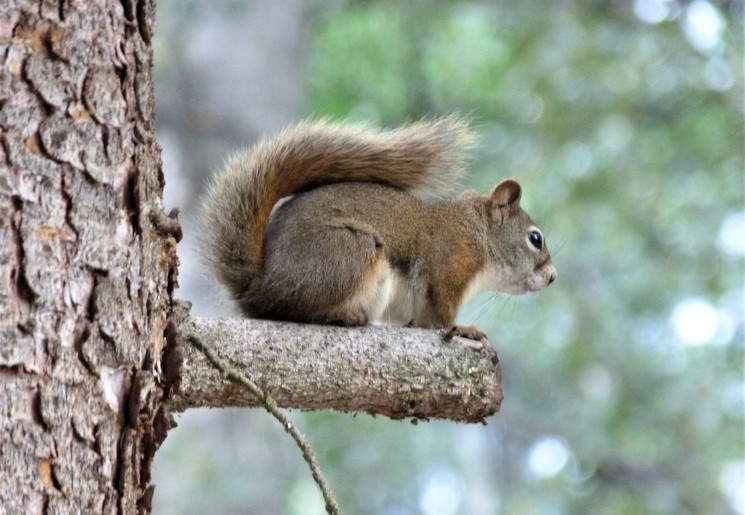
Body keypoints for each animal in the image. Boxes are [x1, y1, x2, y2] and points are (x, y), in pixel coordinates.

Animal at [201, 117, 556, 342]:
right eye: (535, 239)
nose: (553, 277)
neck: (478, 235)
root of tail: (260, 284)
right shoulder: (448, 267)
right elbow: (443, 315)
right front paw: (464, 329)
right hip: (348, 253)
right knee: (290, 310)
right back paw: (343, 315)